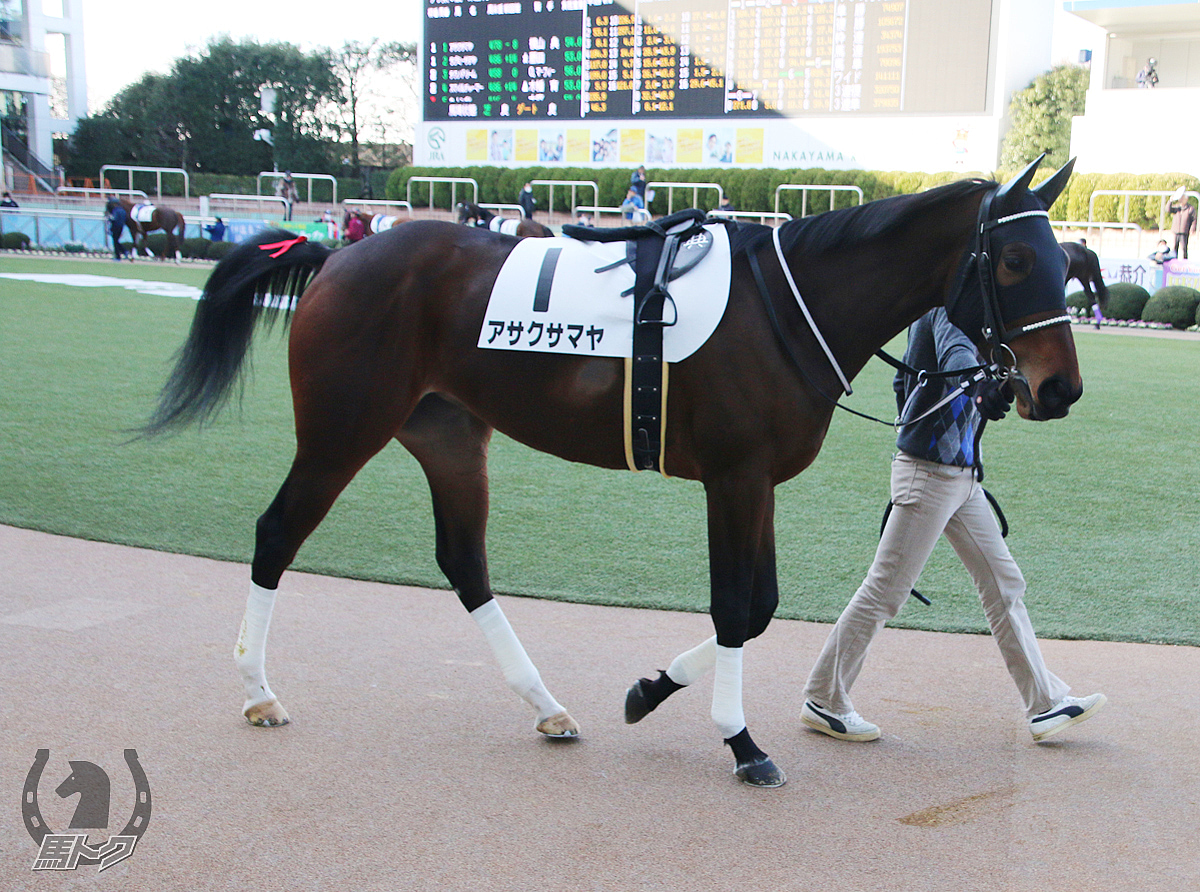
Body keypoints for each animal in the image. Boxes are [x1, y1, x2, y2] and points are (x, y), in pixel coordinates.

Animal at [140, 154, 1080, 787]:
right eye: (1013, 260)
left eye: (1067, 262)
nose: (1059, 388)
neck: (786, 304)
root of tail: (335, 255)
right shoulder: (733, 478)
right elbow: (735, 607)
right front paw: (740, 739)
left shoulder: (760, 482)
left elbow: (761, 607)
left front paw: (649, 690)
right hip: (343, 430)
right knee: (277, 533)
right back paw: (258, 690)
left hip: (449, 436)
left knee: (464, 562)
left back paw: (545, 705)